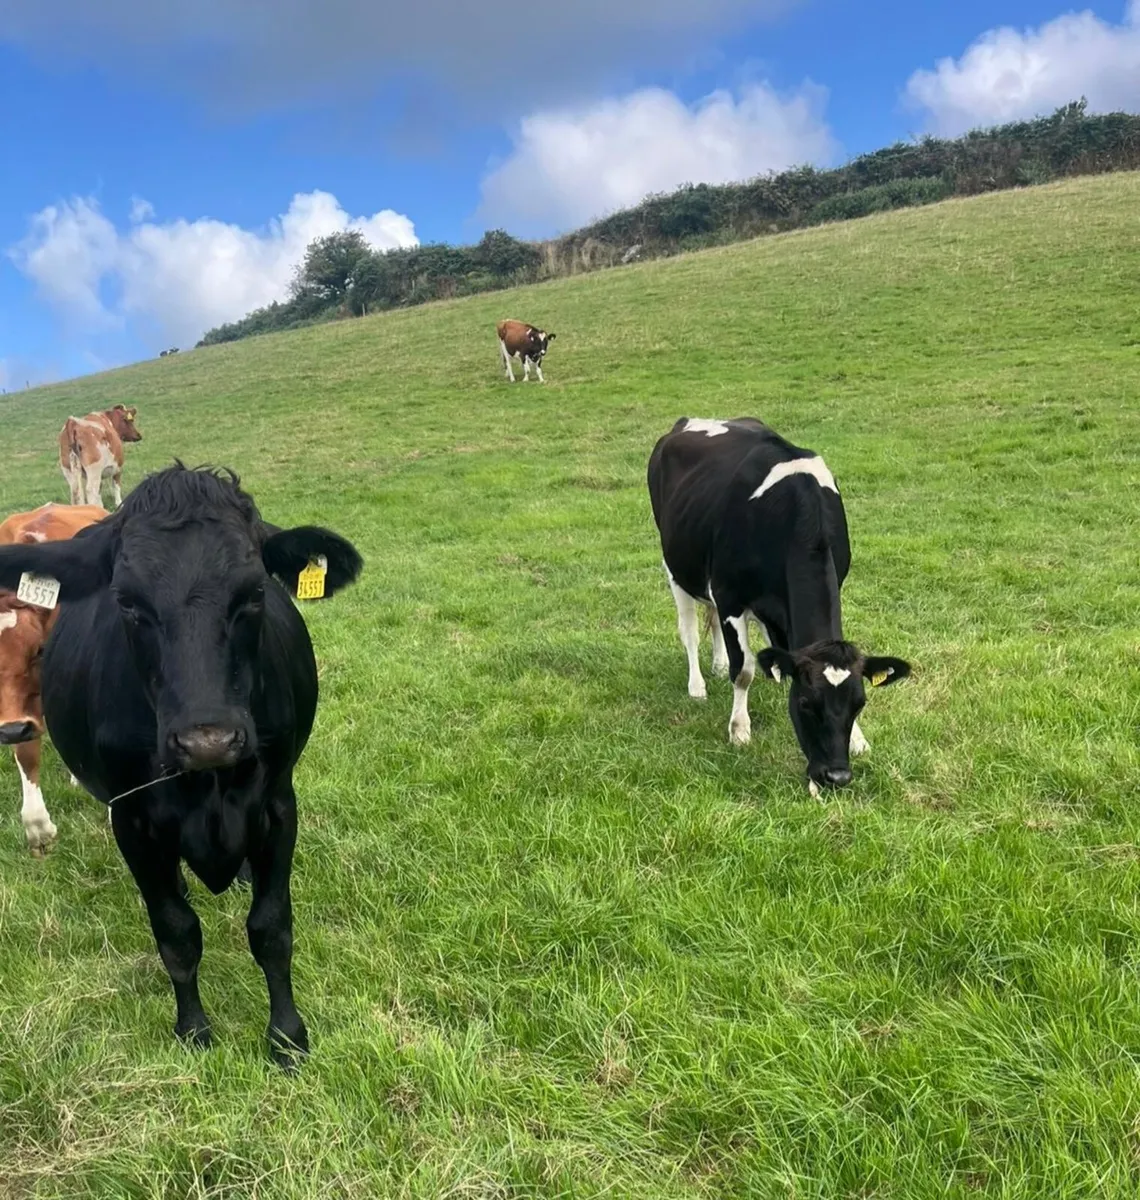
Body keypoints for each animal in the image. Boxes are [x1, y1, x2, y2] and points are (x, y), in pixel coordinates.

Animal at [647, 417, 911, 795]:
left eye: (859, 704)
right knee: (691, 632)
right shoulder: (729, 595)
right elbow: (744, 670)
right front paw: (740, 730)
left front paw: (859, 739)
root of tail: (688, 421)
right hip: (676, 567)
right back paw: (697, 686)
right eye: (805, 703)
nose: (836, 777)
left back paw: (718, 664)